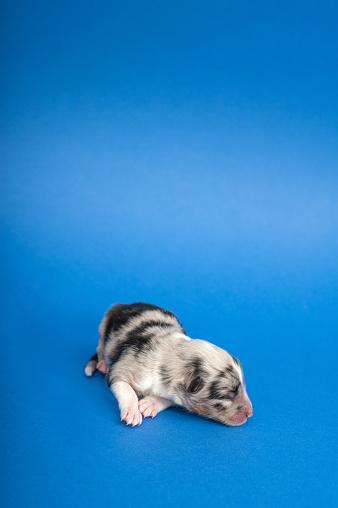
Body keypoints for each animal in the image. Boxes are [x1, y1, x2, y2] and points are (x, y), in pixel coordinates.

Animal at [86, 304, 252, 426]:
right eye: (227, 395)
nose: (250, 413)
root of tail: (124, 304)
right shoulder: (122, 370)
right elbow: (127, 391)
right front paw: (132, 413)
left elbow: (168, 399)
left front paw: (149, 404)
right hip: (104, 325)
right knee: (100, 347)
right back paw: (103, 363)